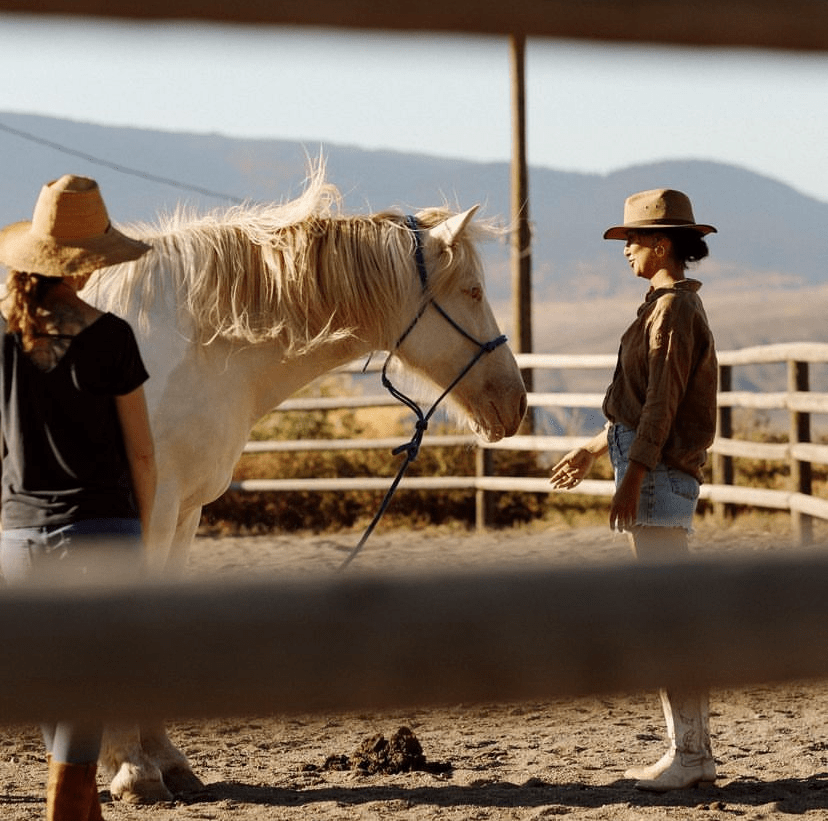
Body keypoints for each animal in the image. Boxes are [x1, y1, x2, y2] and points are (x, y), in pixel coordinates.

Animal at [82, 167, 524, 800]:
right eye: (472, 292)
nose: (516, 403)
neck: (179, 347)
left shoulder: (183, 514)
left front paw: (165, 761)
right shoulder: (147, 510)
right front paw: (134, 771)